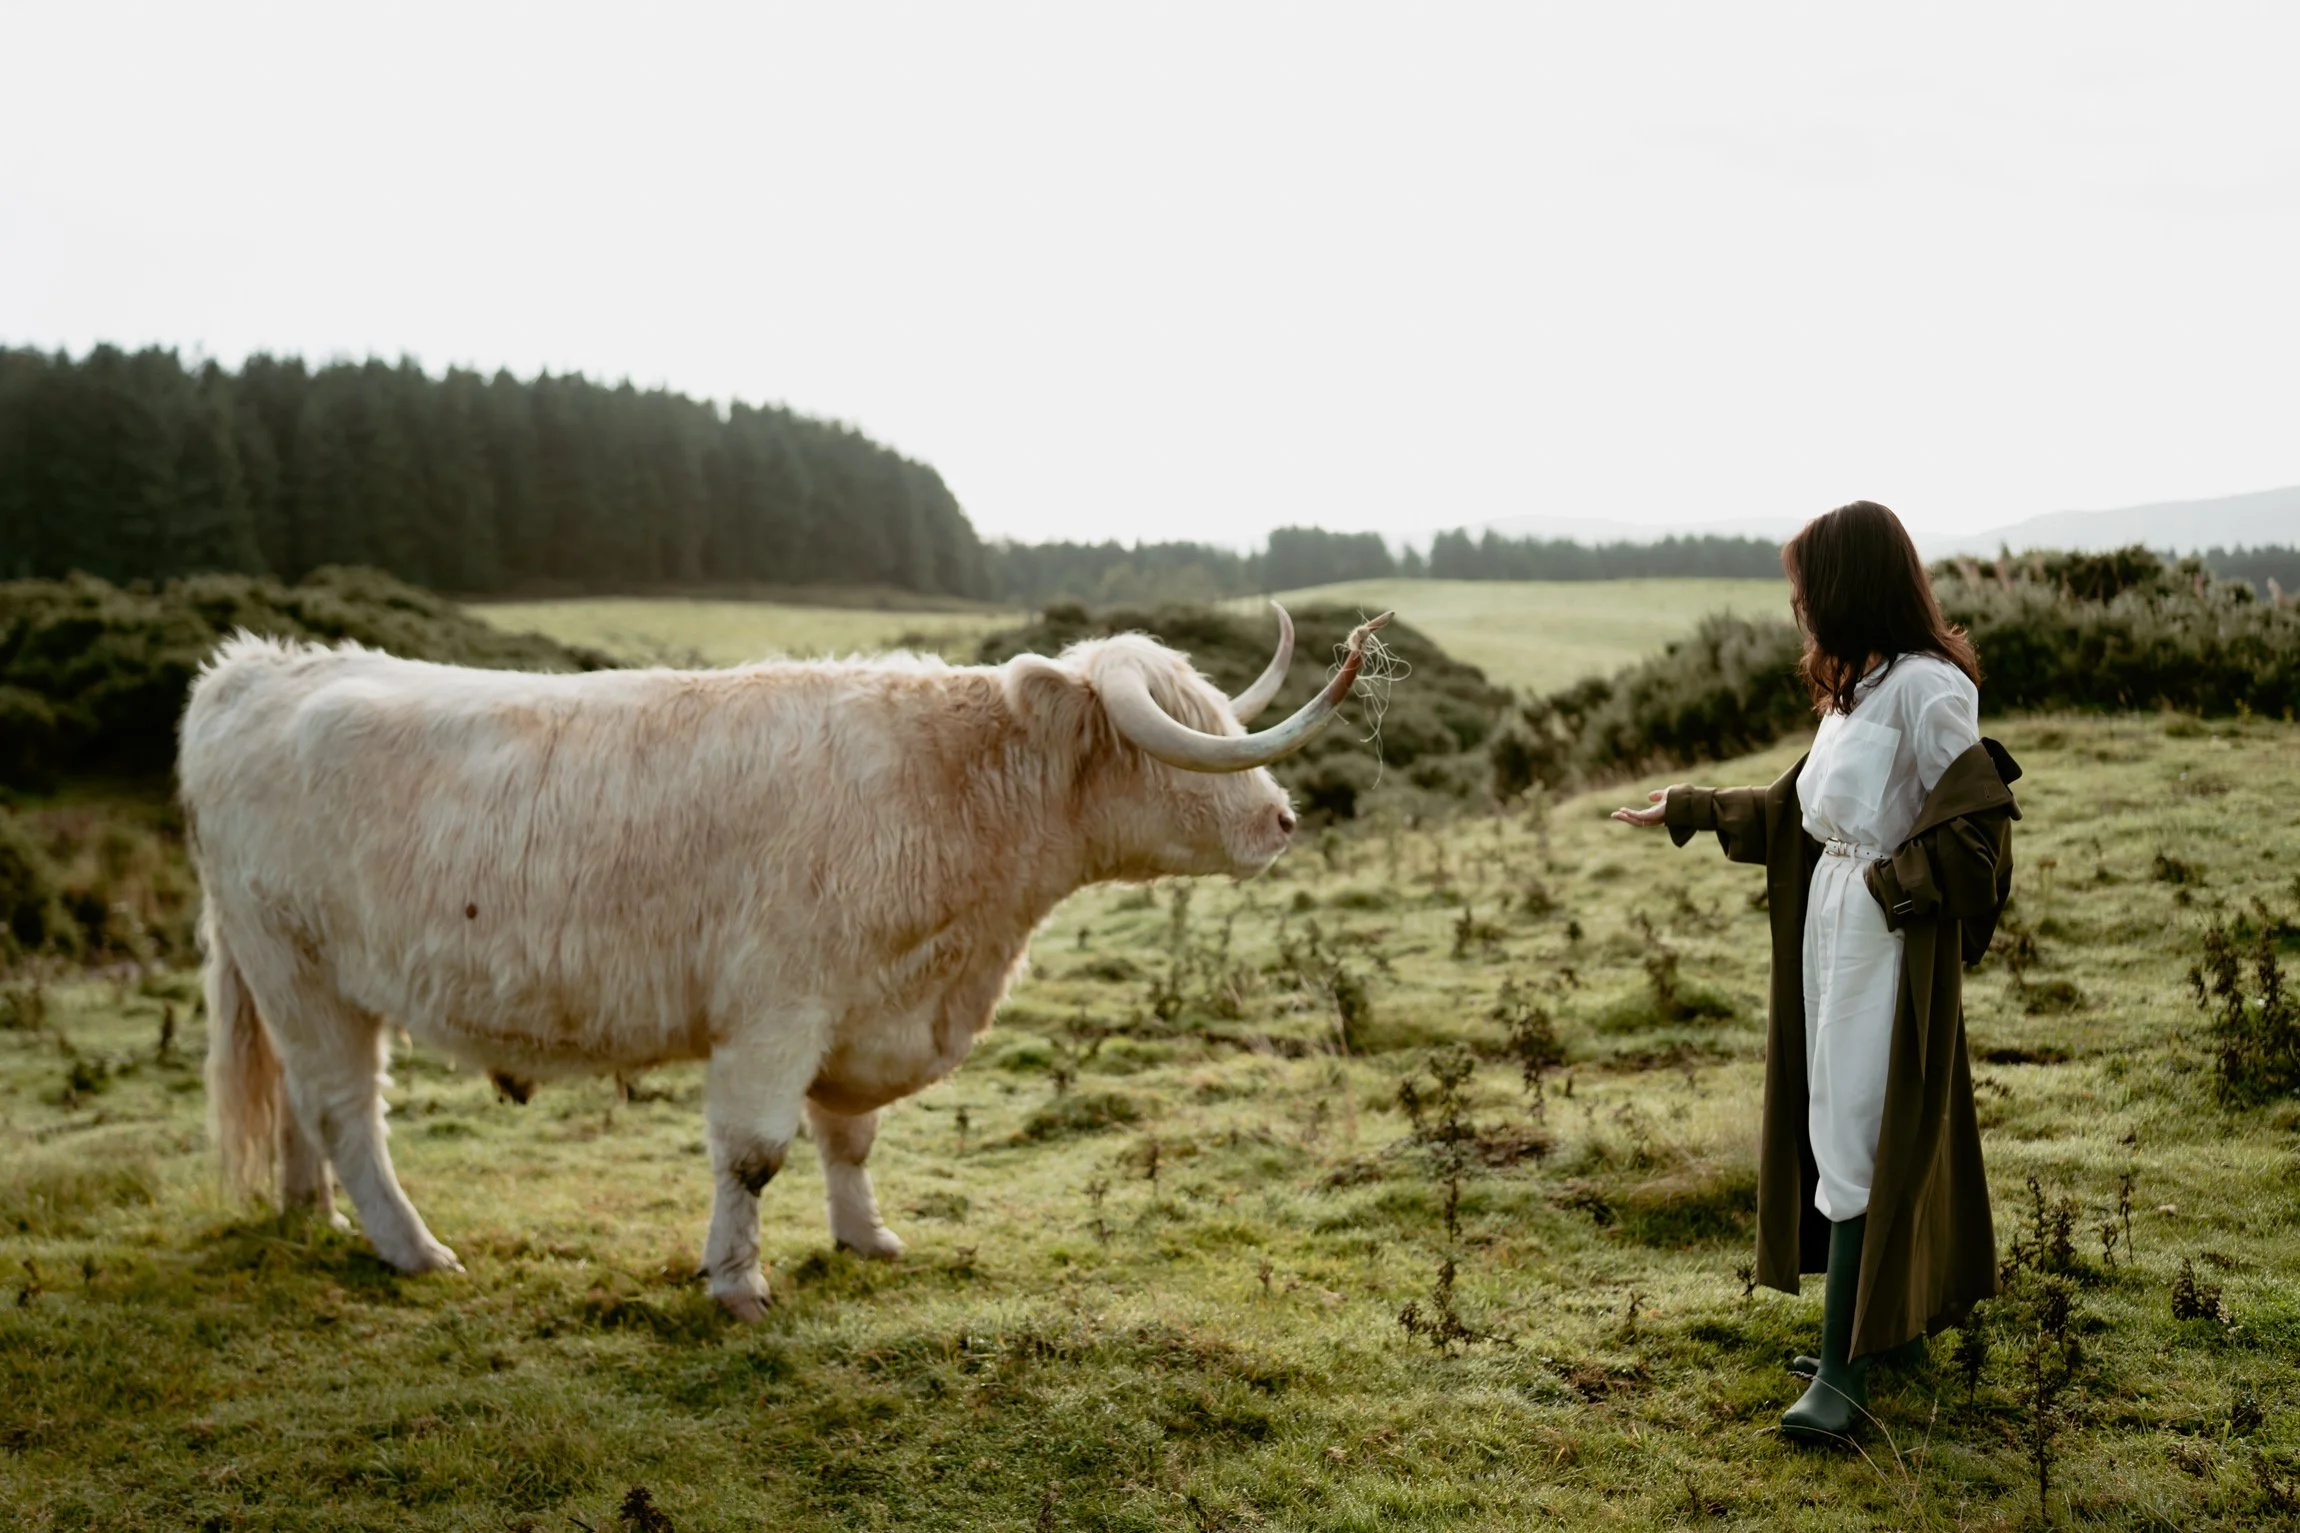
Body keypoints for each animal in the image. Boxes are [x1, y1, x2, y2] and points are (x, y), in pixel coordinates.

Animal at [180, 605, 1389, 1318]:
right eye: (1172, 739)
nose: (1281, 820)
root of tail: (257, 669)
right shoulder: (776, 1008)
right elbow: (755, 1154)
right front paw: (738, 1284)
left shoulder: (853, 1013)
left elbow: (847, 1139)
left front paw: (866, 1238)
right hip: (299, 968)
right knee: (345, 1111)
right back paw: (411, 1248)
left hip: (297, 983)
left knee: (301, 1110)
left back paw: (312, 1218)